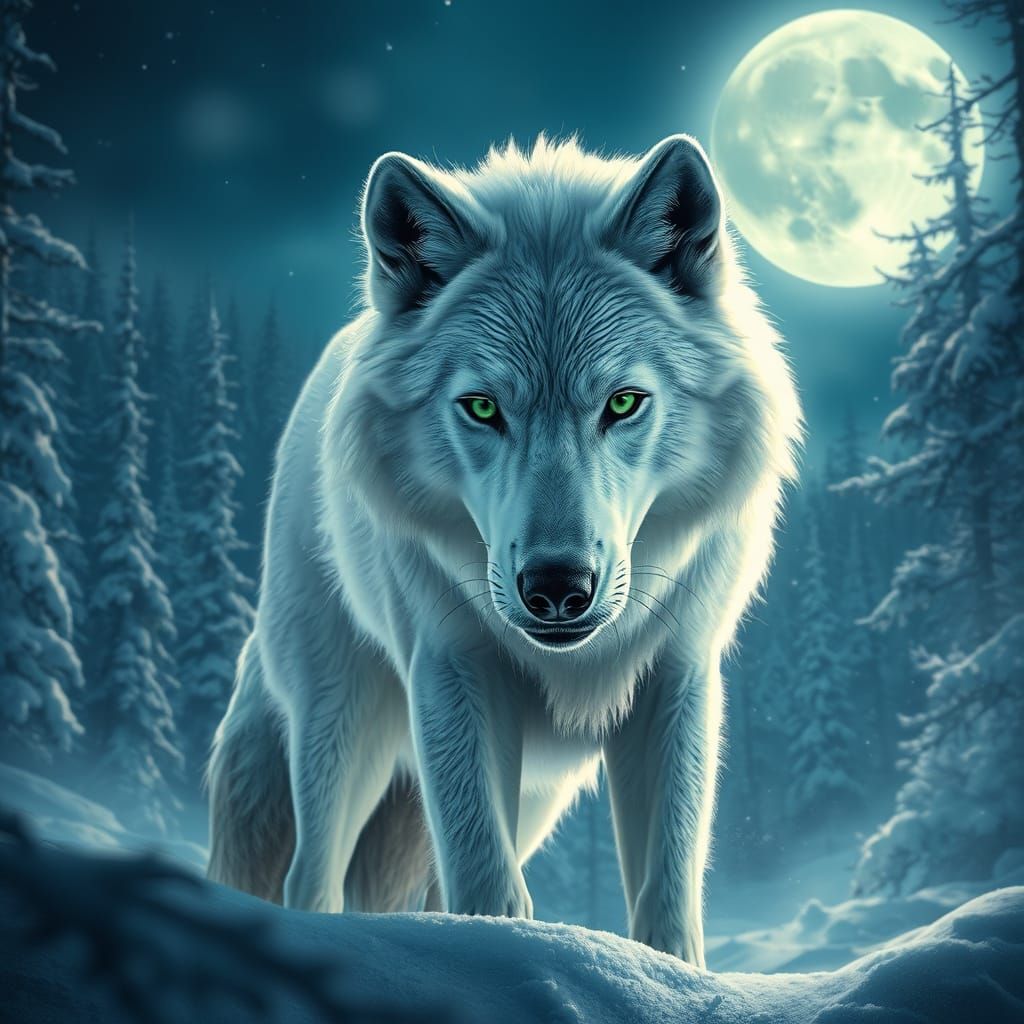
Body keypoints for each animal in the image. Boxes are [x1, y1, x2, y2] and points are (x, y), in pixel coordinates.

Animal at [207, 133, 800, 966]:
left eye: (624, 403)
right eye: (483, 408)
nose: (557, 585)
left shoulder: (677, 676)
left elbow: (668, 889)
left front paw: (668, 974)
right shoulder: (452, 670)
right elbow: (485, 878)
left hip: (534, 795)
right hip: (346, 720)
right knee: (310, 876)